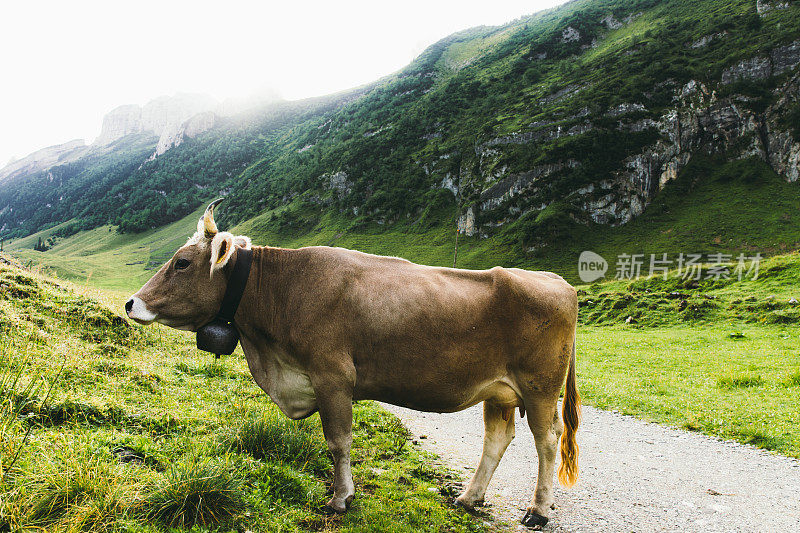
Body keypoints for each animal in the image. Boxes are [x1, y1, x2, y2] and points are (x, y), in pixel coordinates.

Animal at [125, 200, 580, 528]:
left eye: (182, 262)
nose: (131, 303)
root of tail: (555, 280)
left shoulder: (332, 377)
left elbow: (338, 441)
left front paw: (341, 497)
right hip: (498, 391)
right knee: (497, 438)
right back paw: (469, 497)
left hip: (540, 387)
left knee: (547, 440)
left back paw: (538, 511)